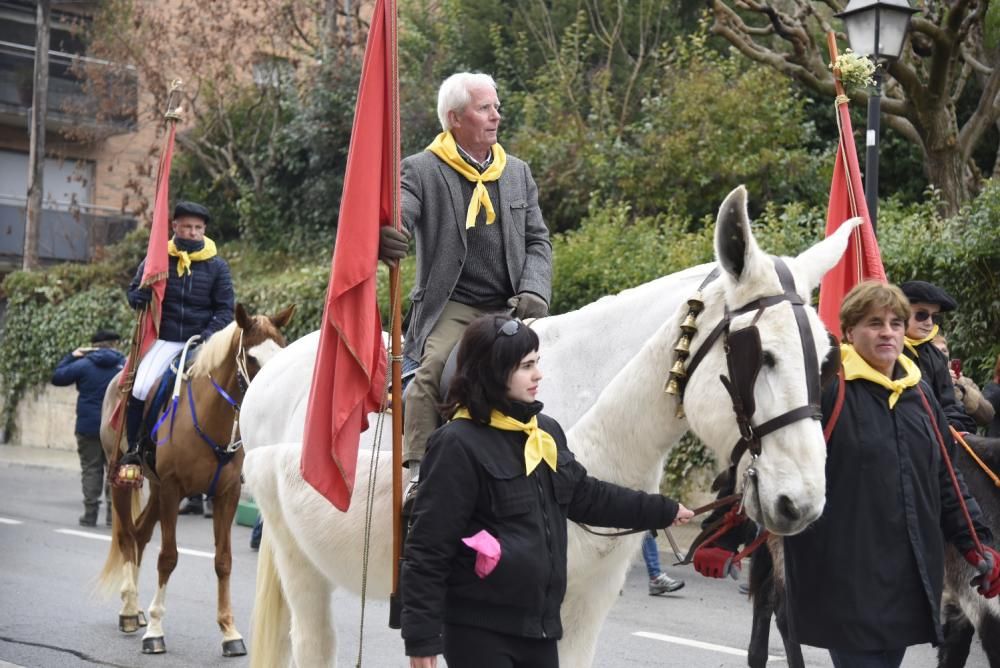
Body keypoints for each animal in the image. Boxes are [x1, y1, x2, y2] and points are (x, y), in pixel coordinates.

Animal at [95, 304, 294, 656]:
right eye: (252, 357)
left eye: (282, 350)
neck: (210, 416)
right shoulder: (174, 489)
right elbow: (168, 557)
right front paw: (156, 630)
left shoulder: (225, 494)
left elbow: (223, 561)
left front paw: (229, 632)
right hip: (122, 480)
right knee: (127, 538)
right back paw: (130, 610)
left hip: (156, 488)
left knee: (141, 535)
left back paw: (137, 609)